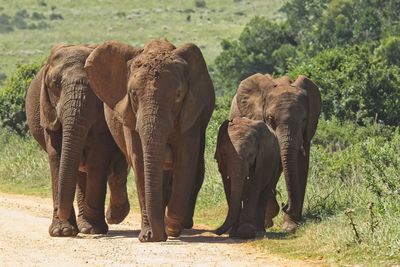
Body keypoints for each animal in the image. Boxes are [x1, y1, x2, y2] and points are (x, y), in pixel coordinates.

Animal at [25, 44, 130, 239]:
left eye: (95, 87)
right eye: (55, 84)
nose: (60, 212)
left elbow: (98, 158)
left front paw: (94, 229)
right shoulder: (48, 111)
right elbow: (57, 156)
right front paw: (62, 232)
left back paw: (91, 226)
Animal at [84, 39, 216, 243]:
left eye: (178, 95)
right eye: (133, 95)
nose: (156, 235)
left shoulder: (191, 113)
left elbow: (186, 160)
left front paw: (171, 227)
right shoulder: (130, 115)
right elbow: (139, 161)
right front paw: (149, 236)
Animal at [230, 73, 320, 232]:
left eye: (303, 119)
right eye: (270, 119)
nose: (285, 205)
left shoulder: (307, 131)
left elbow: (301, 164)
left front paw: (291, 226)